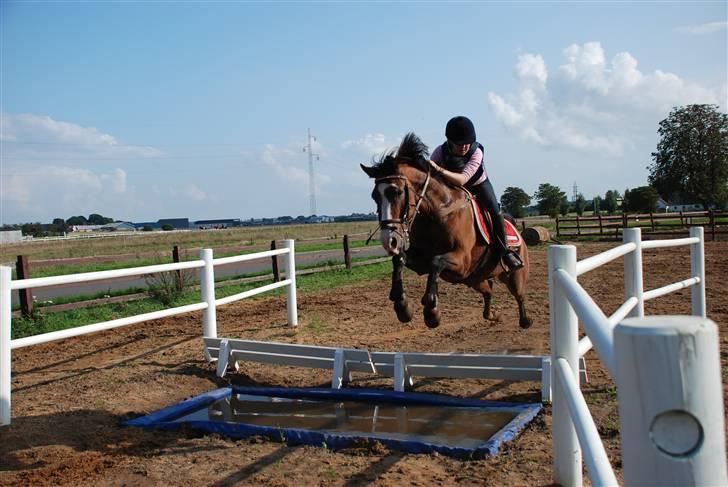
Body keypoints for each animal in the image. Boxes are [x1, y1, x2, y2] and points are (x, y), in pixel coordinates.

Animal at [362, 133, 532, 330]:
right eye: (375, 196)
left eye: (396, 192)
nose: (388, 241)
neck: (436, 213)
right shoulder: (421, 261)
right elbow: (400, 259)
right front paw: (402, 306)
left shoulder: (462, 261)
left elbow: (436, 262)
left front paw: (431, 311)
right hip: (475, 279)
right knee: (488, 291)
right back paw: (493, 315)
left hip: (512, 276)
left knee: (519, 295)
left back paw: (525, 320)